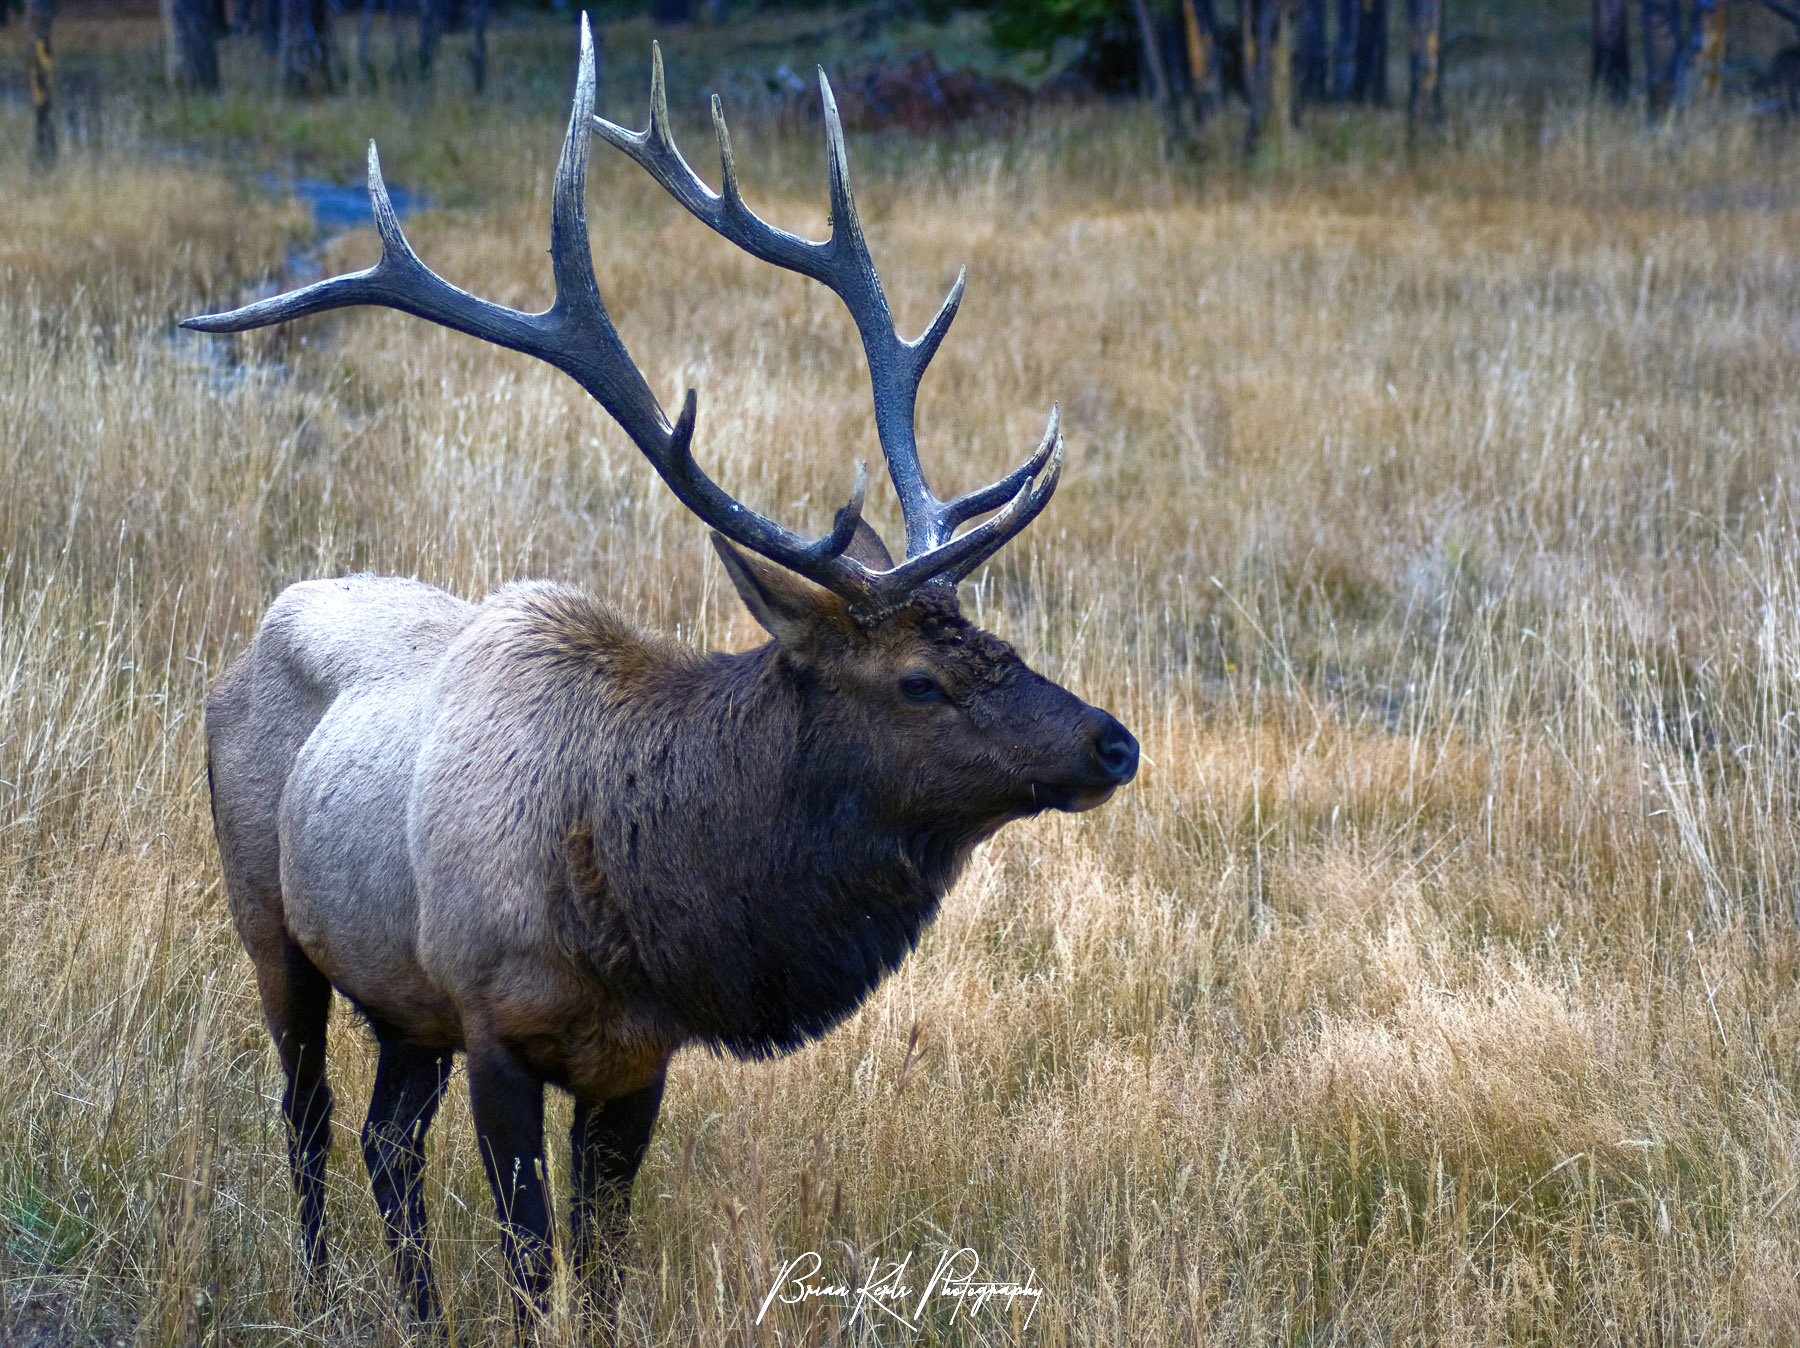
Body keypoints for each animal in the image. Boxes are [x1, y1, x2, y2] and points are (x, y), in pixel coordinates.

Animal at [186, 18, 1137, 1324]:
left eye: (997, 640)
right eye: (917, 680)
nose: (1111, 739)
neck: (643, 912)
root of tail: (239, 651)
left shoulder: (636, 1062)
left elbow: (606, 1263)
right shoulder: (493, 1018)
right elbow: (533, 1264)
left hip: (402, 1000)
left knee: (386, 1141)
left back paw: (417, 1313)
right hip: (272, 926)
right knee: (311, 1120)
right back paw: (322, 1289)